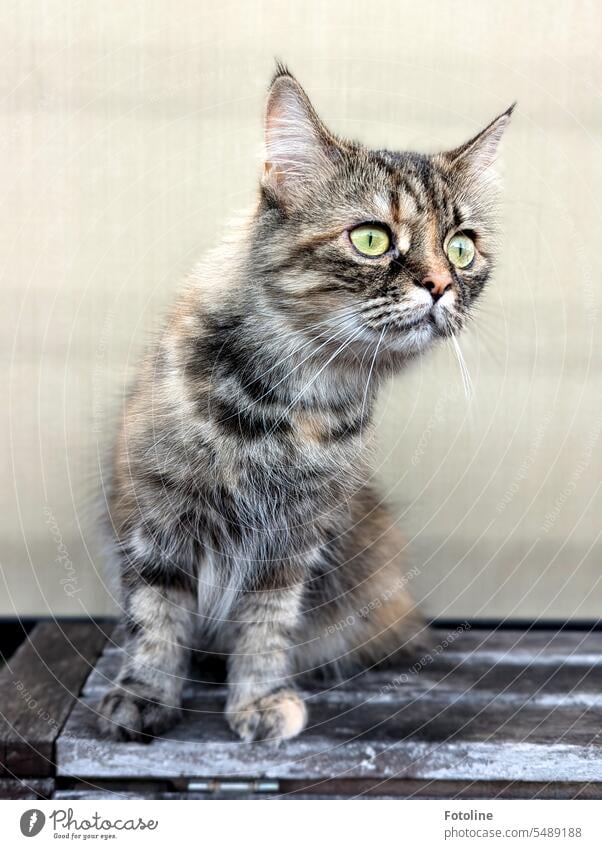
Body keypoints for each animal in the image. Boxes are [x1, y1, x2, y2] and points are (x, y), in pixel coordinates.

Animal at [96, 66, 508, 744]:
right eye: (372, 238)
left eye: (461, 247)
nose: (441, 286)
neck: (286, 406)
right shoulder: (159, 516)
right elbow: (156, 622)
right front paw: (142, 698)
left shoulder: (290, 543)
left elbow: (265, 628)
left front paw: (259, 702)